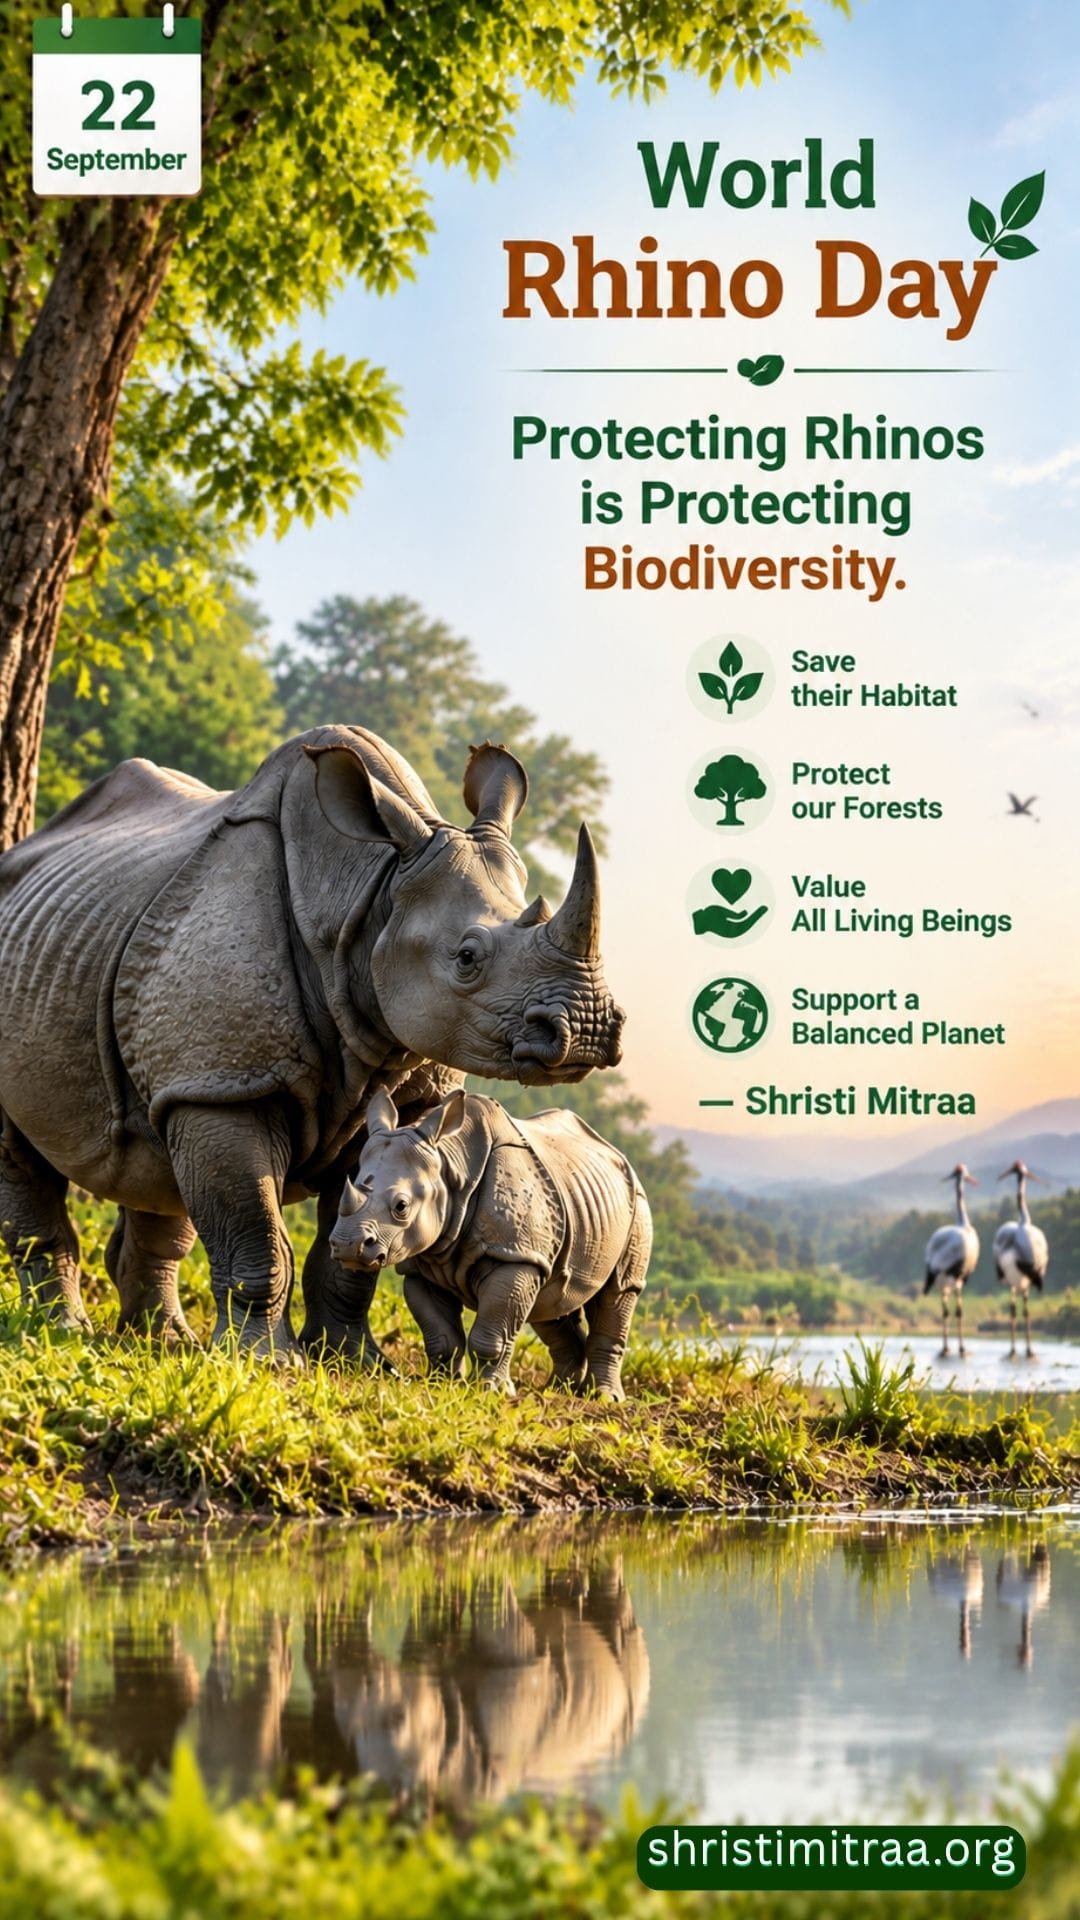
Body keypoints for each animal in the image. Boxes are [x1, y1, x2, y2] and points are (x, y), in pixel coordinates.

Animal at [0, 727, 624, 1356]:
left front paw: (353, 1358)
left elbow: (344, 1251)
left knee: (159, 1162)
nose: (588, 1030)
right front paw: (267, 1359)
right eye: (467, 958)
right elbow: (255, 1229)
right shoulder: (229, 1084)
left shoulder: (392, 1092)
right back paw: (64, 1328)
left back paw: (162, 1337)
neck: (370, 898)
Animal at [330, 1087, 651, 1398]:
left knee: (619, 1291)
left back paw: (604, 1397)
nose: (347, 1245)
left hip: (637, 1202)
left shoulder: (513, 1256)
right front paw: (440, 1382)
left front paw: (491, 1390)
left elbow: (494, 1330)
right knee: (551, 1301)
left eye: (401, 1207)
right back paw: (558, 1390)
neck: (450, 1169)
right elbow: (440, 1334)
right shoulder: (422, 1264)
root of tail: (615, 1153)